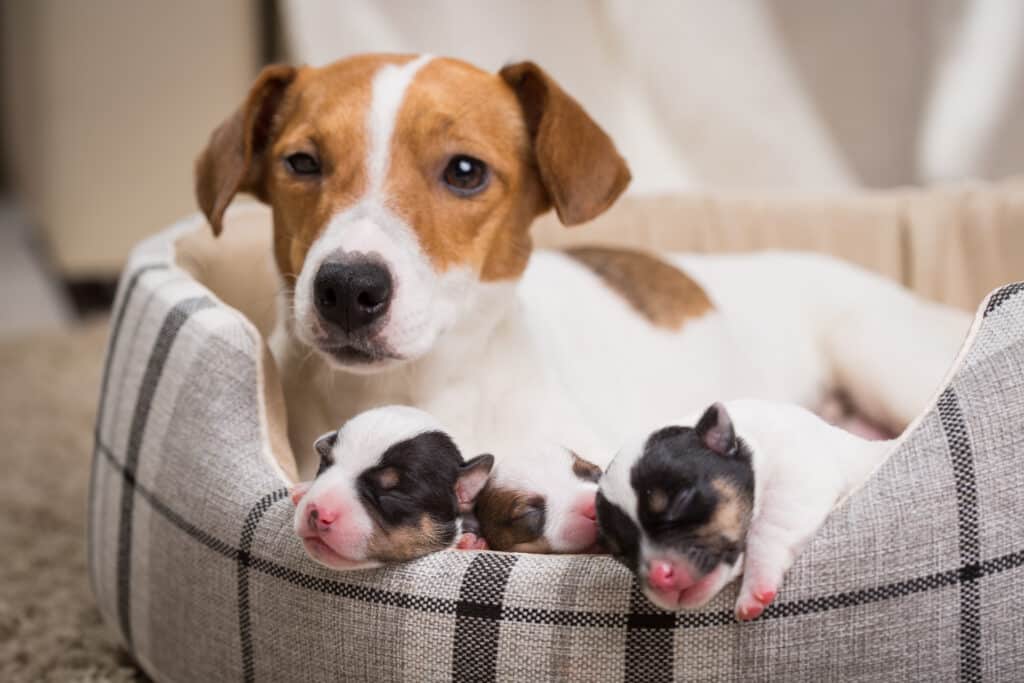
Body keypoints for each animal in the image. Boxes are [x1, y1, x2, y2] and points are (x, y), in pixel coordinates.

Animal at [598, 401, 892, 618]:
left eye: (681, 500)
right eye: (620, 552)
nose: (659, 577)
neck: (749, 441)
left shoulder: (798, 473)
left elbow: (768, 528)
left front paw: (756, 585)